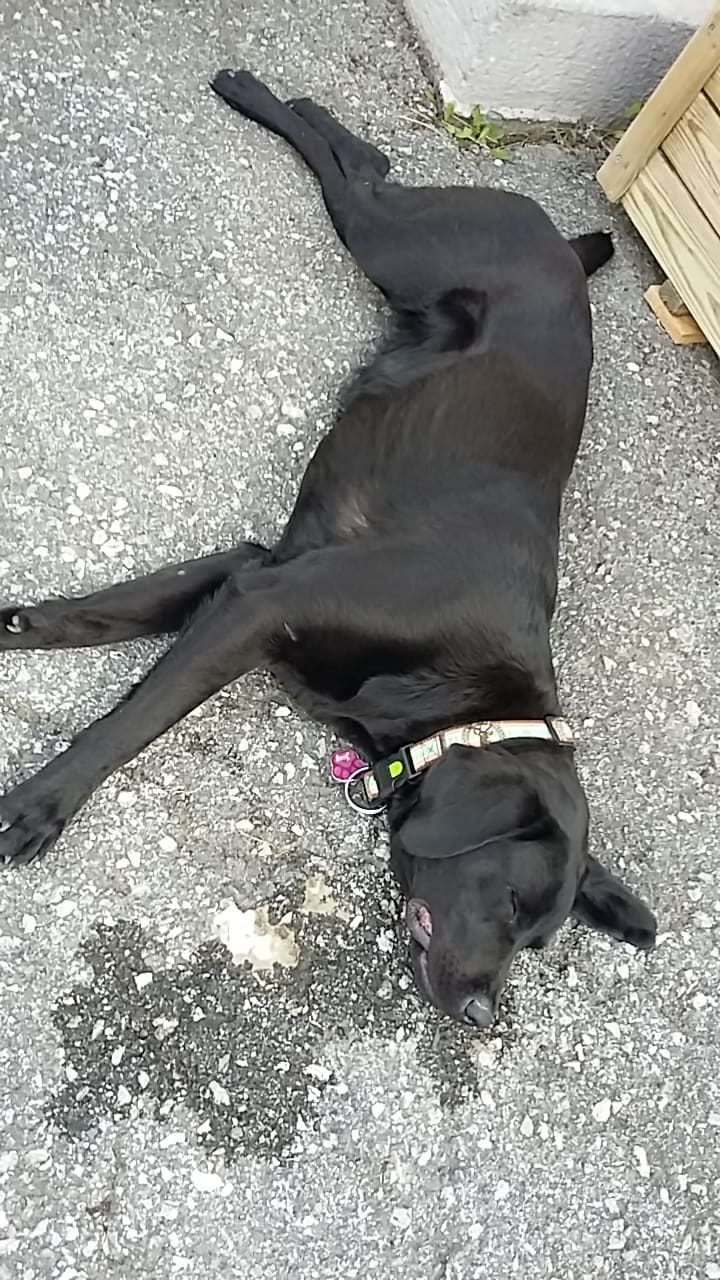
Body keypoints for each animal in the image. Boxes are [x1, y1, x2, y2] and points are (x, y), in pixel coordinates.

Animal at [0, 70, 656, 1028]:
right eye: (509, 901)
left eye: (536, 942)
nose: (480, 1017)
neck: (464, 696)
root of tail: (572, 254)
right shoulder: (263, 602)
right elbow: (130, 723)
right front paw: (39, 807)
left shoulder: (249, 571)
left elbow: (109, 612)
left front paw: (16, 624)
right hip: (393, 241)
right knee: (363, 172)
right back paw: (255, 91)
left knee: (367, 171)